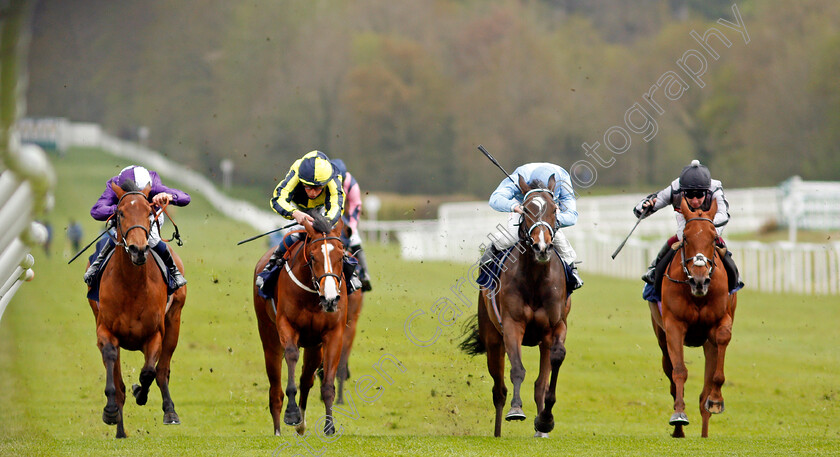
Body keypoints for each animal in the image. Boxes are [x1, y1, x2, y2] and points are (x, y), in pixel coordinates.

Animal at [88, 180, 187, 436]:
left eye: (149, 212)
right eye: (120, 213)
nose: (138, 249)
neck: (132, 286)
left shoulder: (154, 334)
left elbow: (149, 372)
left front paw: (140, 393)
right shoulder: (105, 329)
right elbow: (112, 365)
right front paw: (111, 411)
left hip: (175, 321)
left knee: (162, 370)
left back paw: (169, 411)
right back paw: (120, 429)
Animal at [254, 213, 350, 434]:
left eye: (341, 256)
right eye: (313, 257)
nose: (330, 299)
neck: (313, 295)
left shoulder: (333, 334)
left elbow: (326, 384)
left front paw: (329, 426)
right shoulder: (286, 325)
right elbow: (291, 356)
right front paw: (291, 414)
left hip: (314, 346)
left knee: (306, 380)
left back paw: (302, 424)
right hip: (269, 337)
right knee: (275, 389)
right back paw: (278, 429)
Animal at [460, 175, 572, 438]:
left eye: (555, 209)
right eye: (527, 209)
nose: (542, 247)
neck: (535, 279)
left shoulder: (555, 327)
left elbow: (555, 361)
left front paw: (545, 420)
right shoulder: (512, 325)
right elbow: (517, 370)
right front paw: (516, 410)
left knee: (539, 383)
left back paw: (541, 429)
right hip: (492, 339)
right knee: (498, 390)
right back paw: (498, 432)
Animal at [648, 197, 736, 438]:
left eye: (713, 237)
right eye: (686, 236)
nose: (700, 280)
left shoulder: (720, 321)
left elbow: (722, 340)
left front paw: (716, 401)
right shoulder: (673, 326)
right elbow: (679, 371)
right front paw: (679, 415)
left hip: (707, 343)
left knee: (704, 391)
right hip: (661, 338)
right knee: (671, 374)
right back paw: (679, 430)